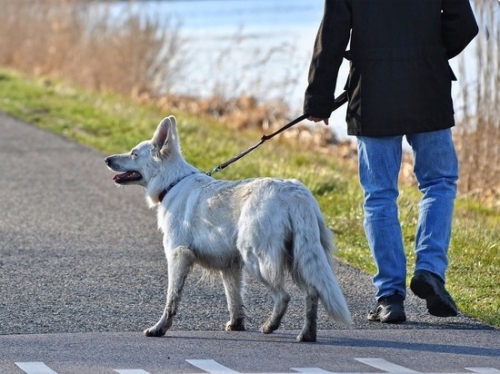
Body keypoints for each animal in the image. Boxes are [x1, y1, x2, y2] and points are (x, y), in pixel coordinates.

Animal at [103, 117, 350, 342]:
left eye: (134, 153)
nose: (107, 159)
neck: (173, 183)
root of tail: (294, 192)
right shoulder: (230, 266)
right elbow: (234, 299)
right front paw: (236, 325)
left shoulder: (178, 256)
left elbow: (171, 299)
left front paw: (159, 329)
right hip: (298, 259)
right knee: (312, 293)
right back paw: (307, 334)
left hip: (257, 259)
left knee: (284, 296)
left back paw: (270, 326)